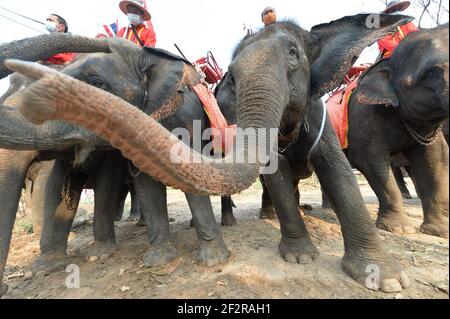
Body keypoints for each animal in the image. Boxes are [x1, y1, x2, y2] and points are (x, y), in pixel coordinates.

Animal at [6, 15, 414, 296]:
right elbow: (147, 181)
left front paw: (386, 279)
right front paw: (160, 262)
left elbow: (337, 171)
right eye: (231, 76)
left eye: (294, 55)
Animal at [340, 24, 448, 238]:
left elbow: (435, 160)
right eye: (431, 74)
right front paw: (400, 229)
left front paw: (439, 230)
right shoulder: (364, 118)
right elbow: (369, 160)